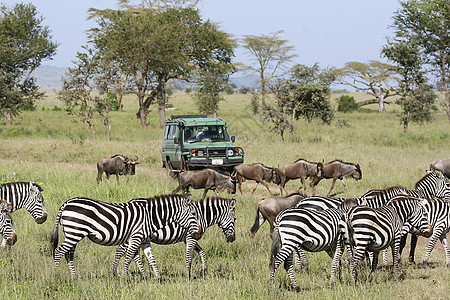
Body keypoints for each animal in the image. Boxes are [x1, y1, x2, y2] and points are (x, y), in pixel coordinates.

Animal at [50, 195, 202, 278]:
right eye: (194, 214)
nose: (199, 232)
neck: (150, 217)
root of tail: (66, 203)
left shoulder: (144, 240)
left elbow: (151, 259)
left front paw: (158, 279)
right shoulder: (136, 237)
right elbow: (128, 258)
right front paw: (123, 277)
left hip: (72, 233)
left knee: (68, 254)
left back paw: (74, 277)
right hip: (75, 232)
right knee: (58, 252)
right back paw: (56, 277)